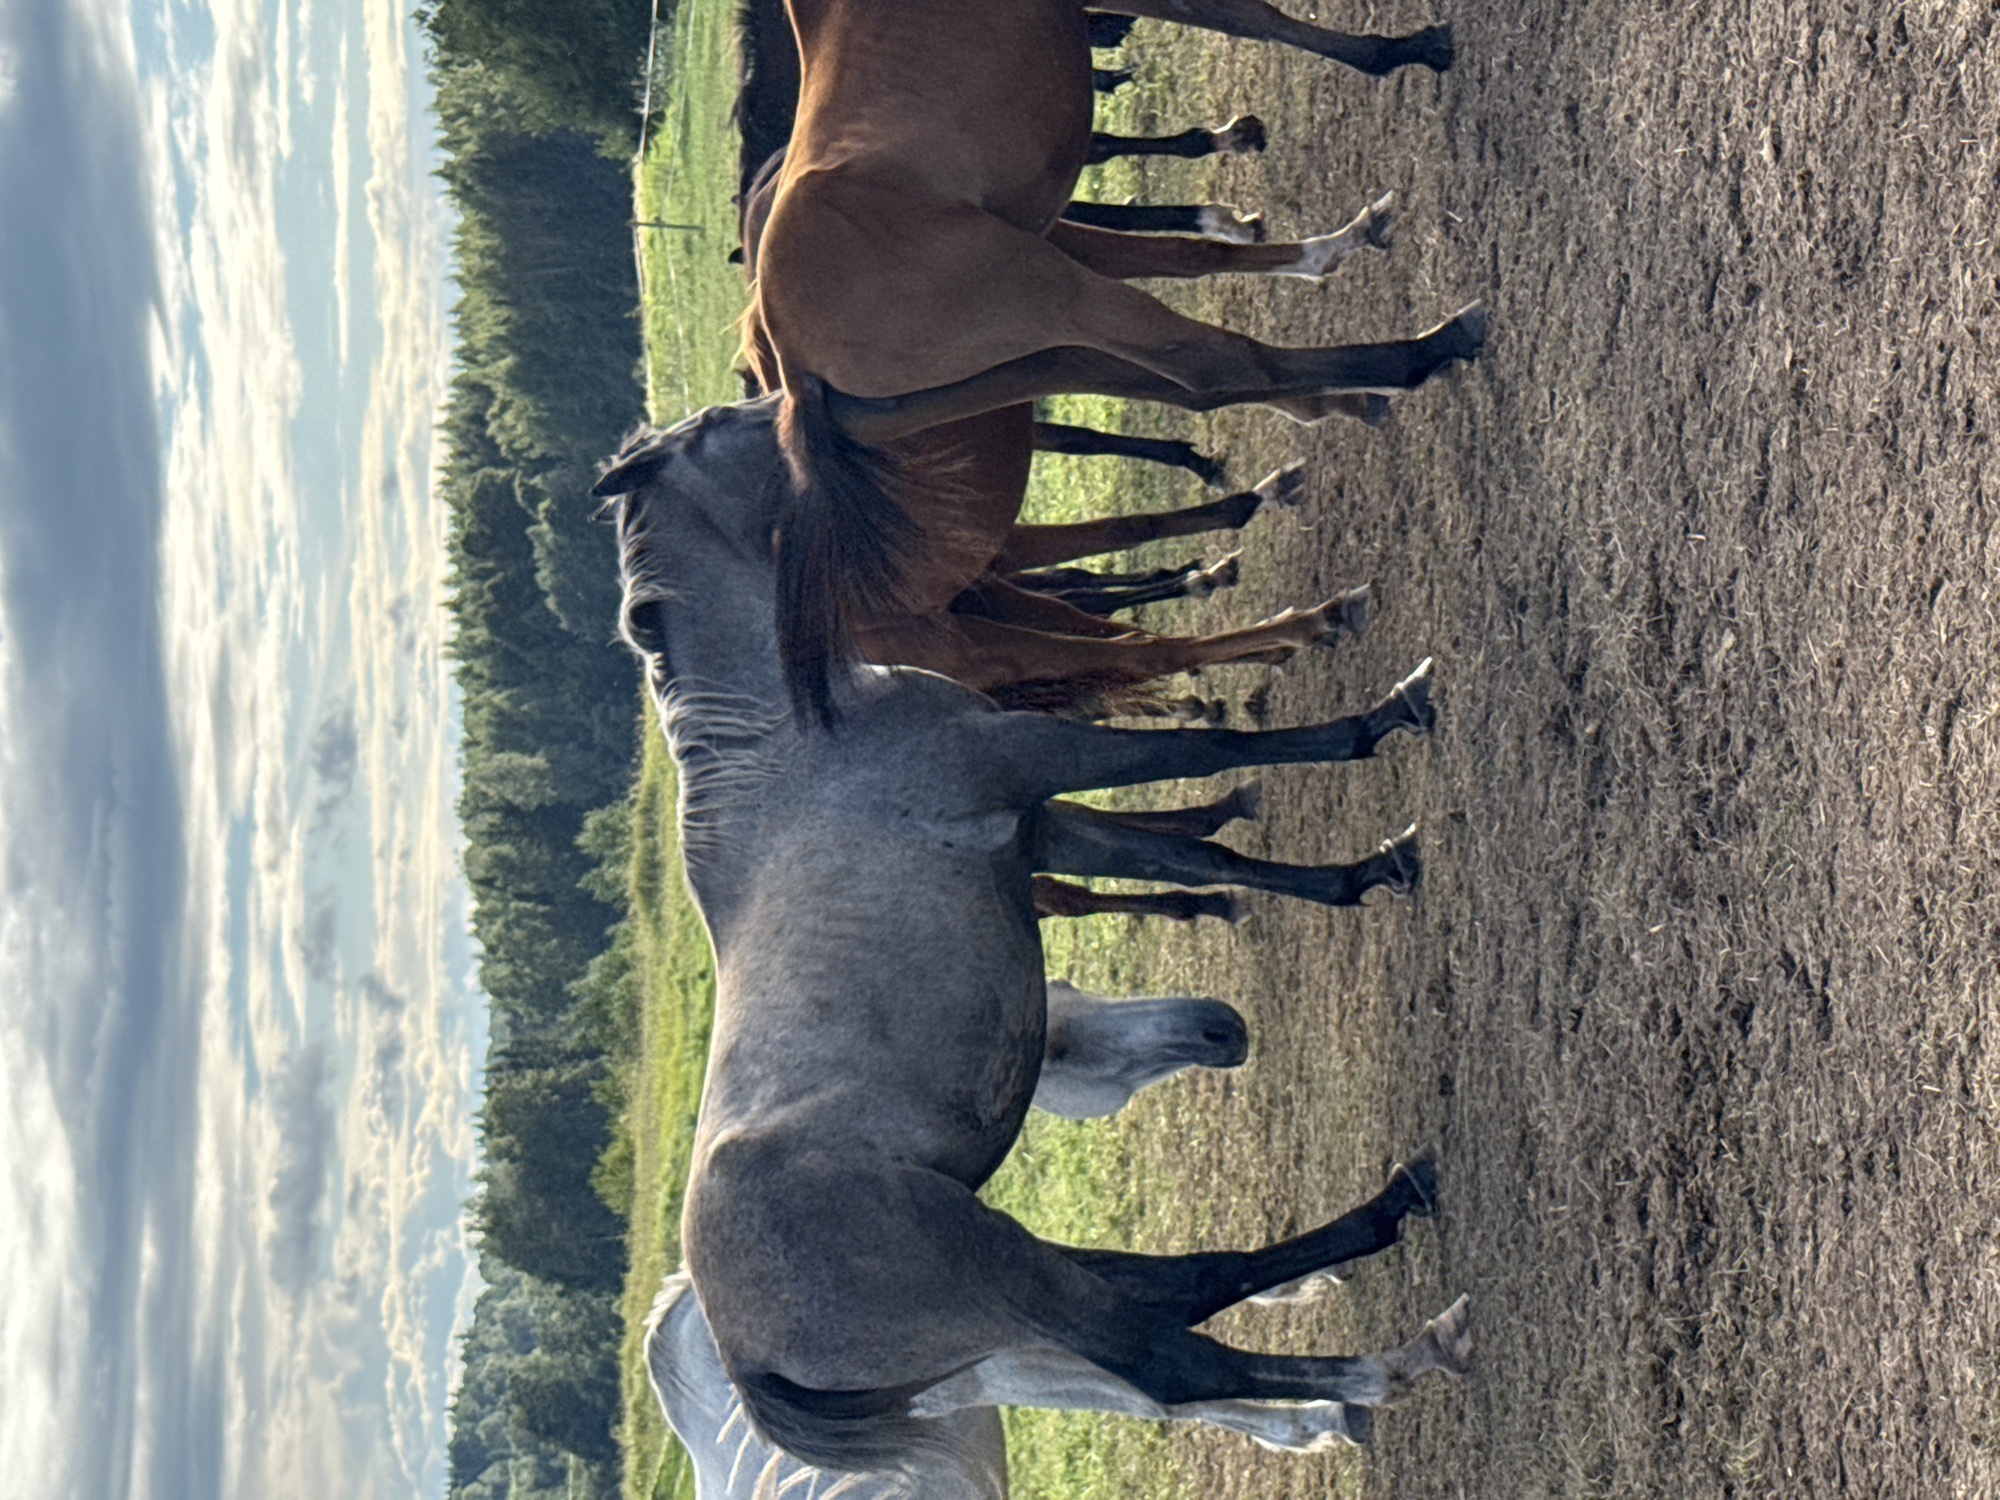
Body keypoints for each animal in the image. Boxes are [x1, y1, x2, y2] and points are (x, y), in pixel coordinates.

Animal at [594, 398, 1470, 1486]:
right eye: (727, 424)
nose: (803, 410)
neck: (793, 736)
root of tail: (742, 1359)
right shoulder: (1044, 759)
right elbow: (1211, 751)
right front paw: (1385, 714)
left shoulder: (1040, 829)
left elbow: (1193, 855)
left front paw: (1362, 874)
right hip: (1007, 1279)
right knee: (1171, 1355)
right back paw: (1393, 1347)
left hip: (1017, 1283)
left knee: (1182, 1296)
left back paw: (1384, 1249)